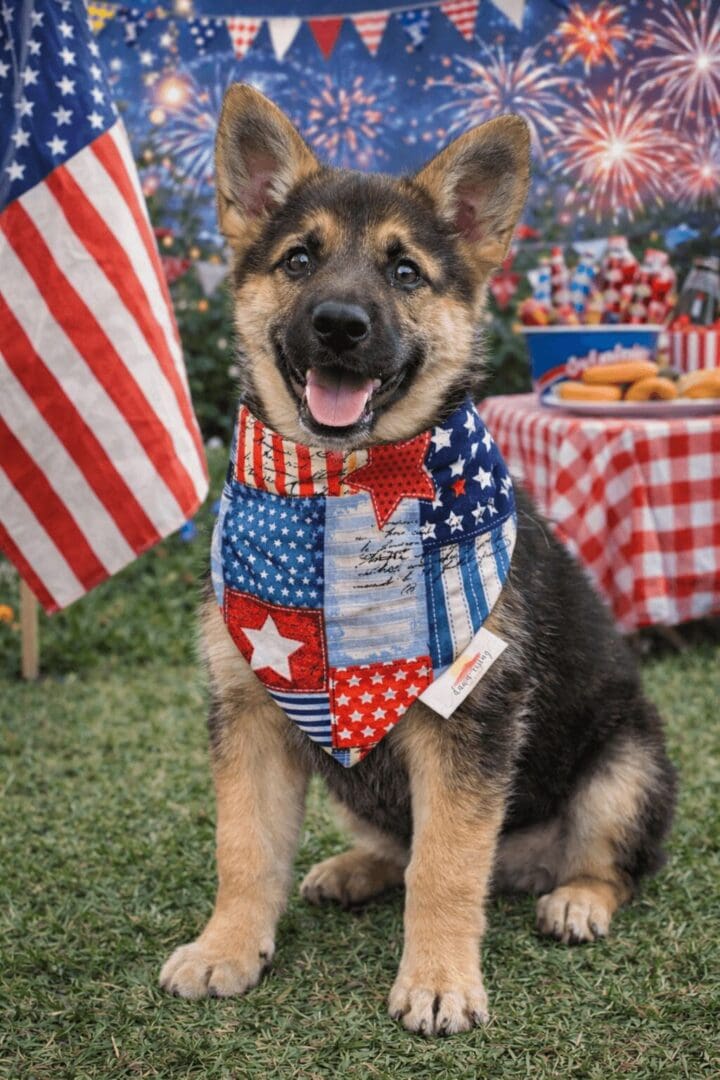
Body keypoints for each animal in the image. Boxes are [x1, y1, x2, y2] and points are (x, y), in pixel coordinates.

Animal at [159, 84, 676, 1036]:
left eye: (405, 273)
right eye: (298, 259)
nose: (339, 324)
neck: (340, 493)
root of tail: (526, 865)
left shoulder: (467, 722)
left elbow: (445, 865)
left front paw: (438, 979)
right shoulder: (250, 715)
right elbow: (244, 849)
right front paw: (226, 947)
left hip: (628, 761)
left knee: (608, 861)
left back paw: (576, 898)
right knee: (392, 845)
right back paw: (354, 869)